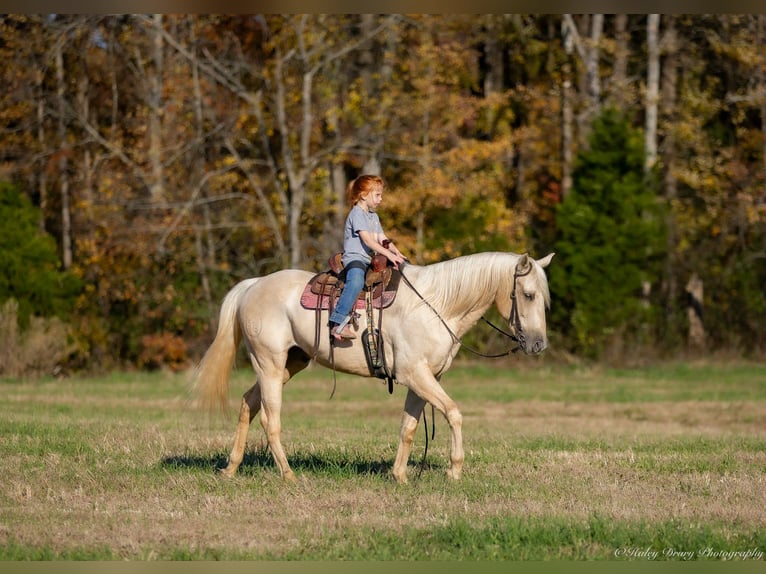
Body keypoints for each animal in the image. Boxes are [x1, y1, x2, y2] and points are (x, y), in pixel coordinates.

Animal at [192, 251, 554, 483]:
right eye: (528, 294)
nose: (538, 345)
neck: (437, 304)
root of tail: (253, 285)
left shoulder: (423, 379)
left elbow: (409, 427)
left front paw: (400, 476)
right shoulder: (417, 375)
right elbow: (453, 413)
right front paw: (454, 470)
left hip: (287, 365)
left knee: (248, 404)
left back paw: (231, 468)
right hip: (268, 363)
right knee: (271, 419)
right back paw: (289, 475)